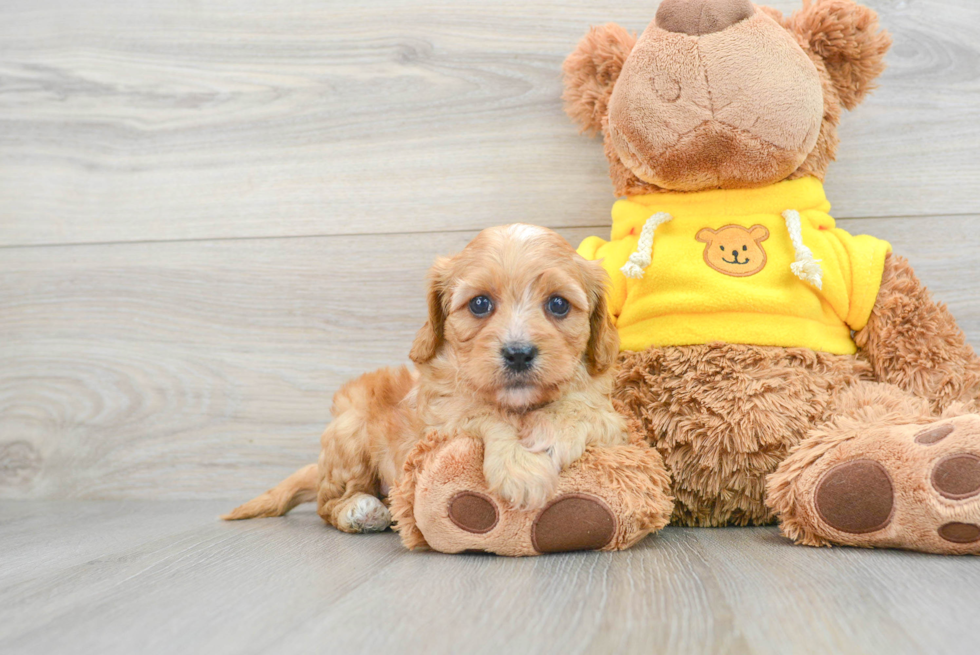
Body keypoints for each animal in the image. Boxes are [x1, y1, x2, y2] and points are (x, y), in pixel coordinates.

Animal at [224, 224, 628, 532]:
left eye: (558, 304)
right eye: (480, 304)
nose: (518, 353)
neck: (519, 405)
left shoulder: (610, 417)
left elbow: (581, 408)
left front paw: (548, 436)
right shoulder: (438, 423)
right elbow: (482, 413)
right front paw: (521, 468)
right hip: (349, 431)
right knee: (328, 503)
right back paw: (361, 510)